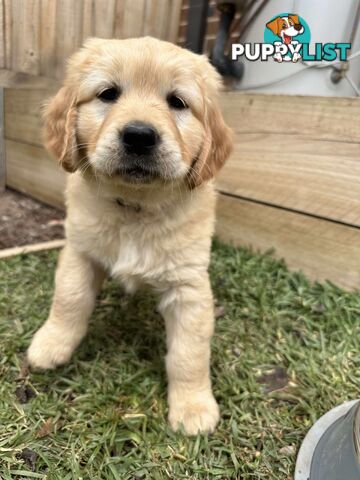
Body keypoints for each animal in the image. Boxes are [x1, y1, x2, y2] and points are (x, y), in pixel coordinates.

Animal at [26, 36, 232, 436]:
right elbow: (69, 299)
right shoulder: (79, 251)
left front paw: (194, 407)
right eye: (108, 94)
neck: (136, 208)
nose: (139, 136)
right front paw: (51, 344)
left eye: (177, 102)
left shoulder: (189, 285)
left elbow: (190, 352)